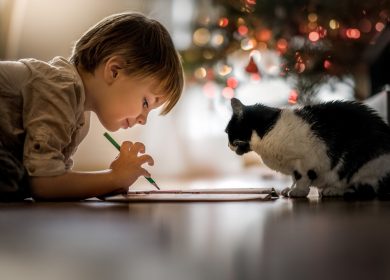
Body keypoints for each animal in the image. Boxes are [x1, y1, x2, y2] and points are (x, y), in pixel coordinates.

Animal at [225, 98, 390, 199]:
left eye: (228, 132)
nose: (228, 145)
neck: (268, 134)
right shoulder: (293, 164)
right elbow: (293, 177)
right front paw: (289, 189)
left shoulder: (307, 159)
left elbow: (301, 177)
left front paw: (298, 191)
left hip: (364, 165)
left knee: (367, 189)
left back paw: (335, 190)